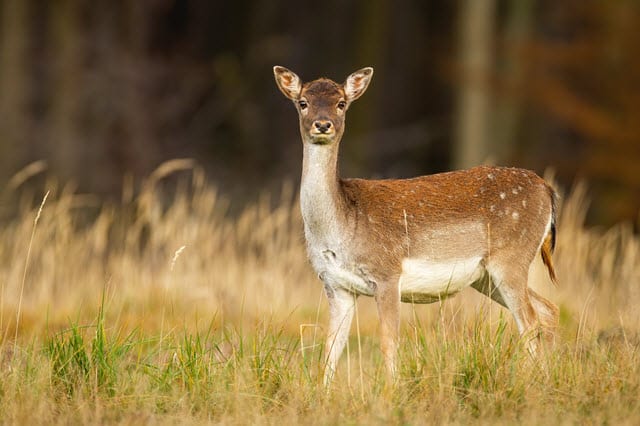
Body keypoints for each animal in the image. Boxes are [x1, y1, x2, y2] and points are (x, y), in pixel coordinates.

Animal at [272, 65, 556, 384]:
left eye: (341, 103)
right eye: (303, 102)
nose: (322, 125)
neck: (342, 227)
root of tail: (547, 190)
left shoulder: (387, 273)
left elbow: (388, 342)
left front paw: (390, 391)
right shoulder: (335, 285)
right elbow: (330, 350)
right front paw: (323, 392)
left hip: (511, 257)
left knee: (530, 321)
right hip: (486, 277)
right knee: (548, 310)